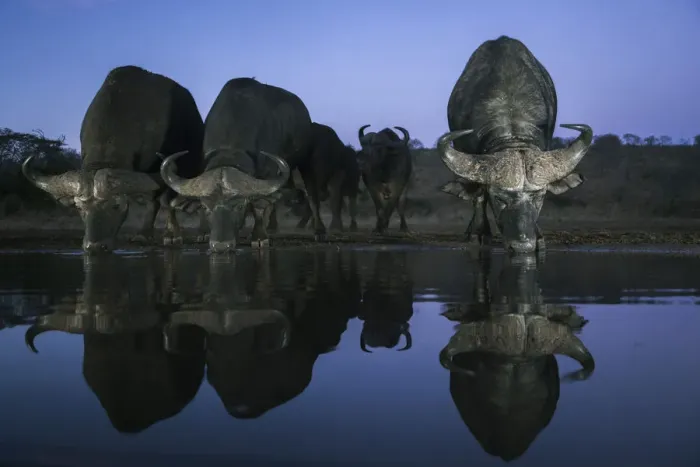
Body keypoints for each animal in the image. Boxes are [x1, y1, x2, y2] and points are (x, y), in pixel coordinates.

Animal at [22, 65, 206, 253]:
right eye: (79, 207)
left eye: (116, 205)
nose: (95, 246)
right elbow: (153, 201)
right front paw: (143, 235)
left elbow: (166, 201)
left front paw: (172, 235)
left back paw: (203, 233)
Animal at [160, 77, 309, 252]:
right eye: (205, 207)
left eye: (239, 206)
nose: (220, 245)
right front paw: (174, 235)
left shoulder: (269, 175)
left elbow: (260, 206)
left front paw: (260, 237)